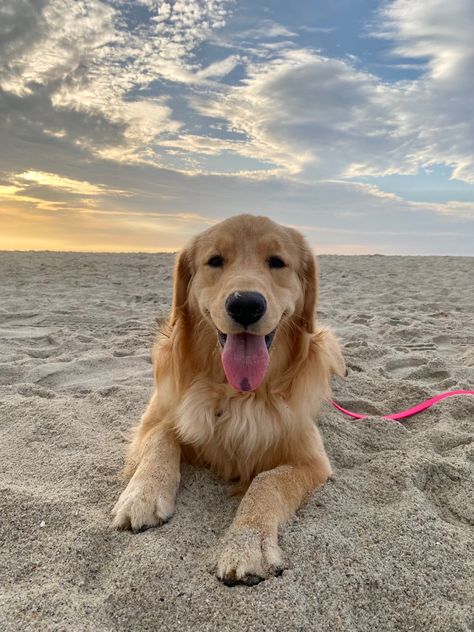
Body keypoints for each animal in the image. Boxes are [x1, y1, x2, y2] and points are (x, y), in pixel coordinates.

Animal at [113, 215, 346, 584]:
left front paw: (246, 544)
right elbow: (161, 440)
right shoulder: (155, 417)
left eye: (277, 262)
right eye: (215, 261)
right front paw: (143, 495)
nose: (246, 305)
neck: (236, 392)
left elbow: (266, 482)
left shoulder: (311, 460)